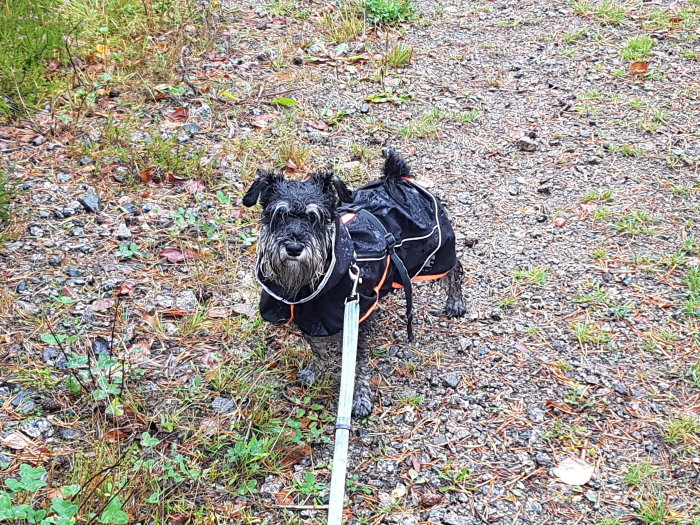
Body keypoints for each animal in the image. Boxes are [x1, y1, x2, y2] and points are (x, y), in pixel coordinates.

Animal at [241, 148, 464, 418]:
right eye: (278, 215)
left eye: (316, 218)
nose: (294, 247)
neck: (309, 285)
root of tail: (398, 178)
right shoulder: (309, 315)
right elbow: (317, 348)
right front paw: (315, 371)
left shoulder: (357, 314)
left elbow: (357, 364)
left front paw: (359, 399)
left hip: (435, 254)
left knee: (455, 268)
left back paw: (455, 302)